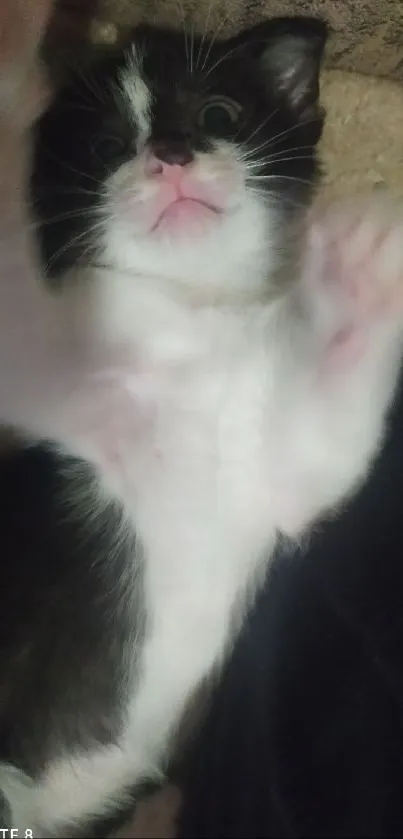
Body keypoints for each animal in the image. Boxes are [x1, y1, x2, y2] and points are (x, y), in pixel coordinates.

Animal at [0, 11, 403, 839]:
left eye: (218, 114)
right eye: (106, 148)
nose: (171, 154)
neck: (192, 317)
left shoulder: (278, 474)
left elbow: (320, 449)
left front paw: (362, 269)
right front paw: (13, 45)